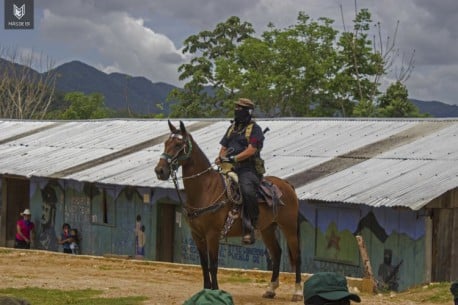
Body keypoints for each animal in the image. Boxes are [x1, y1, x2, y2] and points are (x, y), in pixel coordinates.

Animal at [156, 120, 302, 300]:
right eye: (166, 143)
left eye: (178, 144)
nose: (160, 170)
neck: (205, 189)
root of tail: (287, 185)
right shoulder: (197, 235)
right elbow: (204, 264)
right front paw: (205, 291)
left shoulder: (212, 234)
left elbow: (213, 265)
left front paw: (216, 293)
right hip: (268, 228)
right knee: (276, 253)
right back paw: (270, 289)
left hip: (289, 227)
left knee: (296, 255)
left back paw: (297, 292)